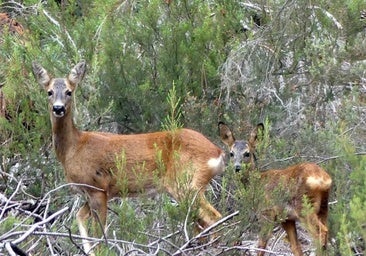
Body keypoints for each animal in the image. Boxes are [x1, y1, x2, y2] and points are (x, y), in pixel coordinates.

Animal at [32, 60, 226, 254]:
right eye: (49, 92)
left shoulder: (97, 188)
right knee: (201, 223)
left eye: (69, 92)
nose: (58, 108)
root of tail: (217, 152)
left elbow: (99, 236)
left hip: (185, 183)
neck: (74, 147)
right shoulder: (100, 192)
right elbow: (80, 218)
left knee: (214, 217)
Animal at [219, 122, 334, 256]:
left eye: (247, 153)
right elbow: (295, 247)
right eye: (231, 153)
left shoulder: (266, 212)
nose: (237, 168)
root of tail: (324, 178)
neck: (256, 184)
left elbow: (261, 244)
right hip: (323, 208)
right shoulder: (286, 219)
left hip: (304, 208)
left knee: (321, 232)